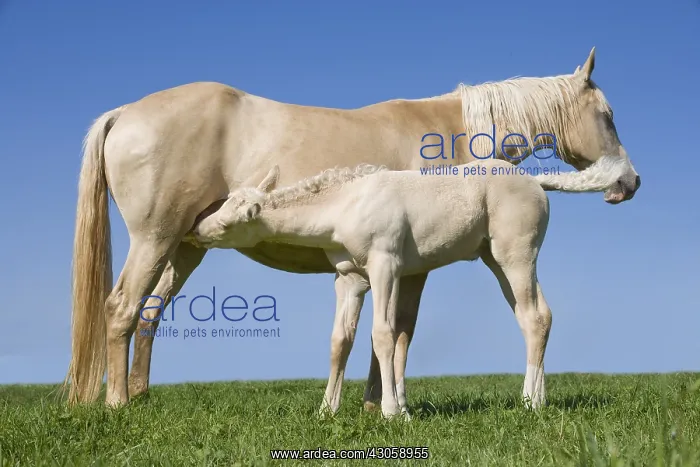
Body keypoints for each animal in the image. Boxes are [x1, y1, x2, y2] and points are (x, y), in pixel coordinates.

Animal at [185, 155, 634, 418]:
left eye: (228, 223)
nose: (196, 230)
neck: (346, 206)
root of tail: (538, 183)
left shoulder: (385, 265)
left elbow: (383, 334)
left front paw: (391, 412)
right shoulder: (349, 278)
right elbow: (340, 340)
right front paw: (327, 411)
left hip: (516, 253)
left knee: (534, 316)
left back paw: (530, 403)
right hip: (494, 258)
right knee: (535, 315)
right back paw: (537, 398)